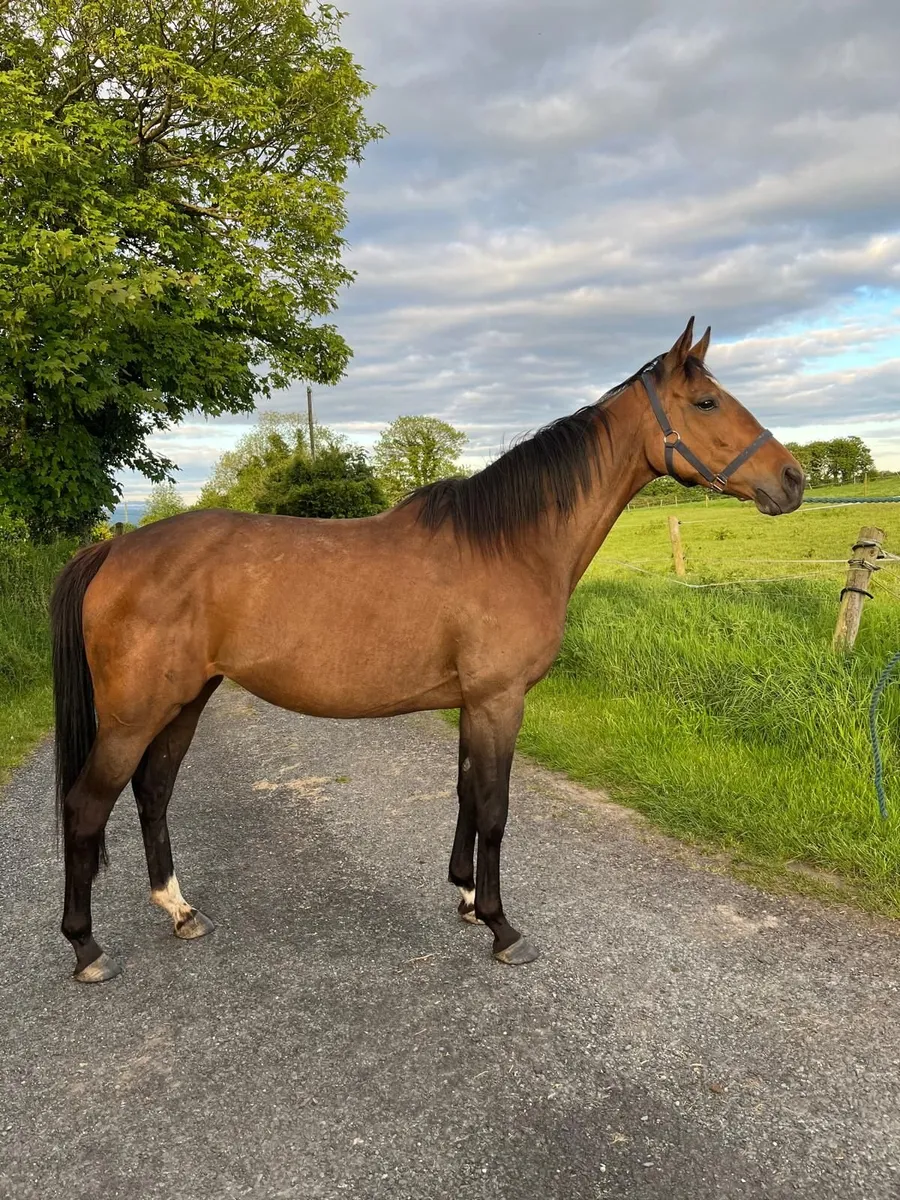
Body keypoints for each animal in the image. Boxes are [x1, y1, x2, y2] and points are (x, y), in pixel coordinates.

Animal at [50, 318, 804, 982]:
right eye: (706, 402)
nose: (793, 480)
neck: (512, 544)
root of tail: (115, 547)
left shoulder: (475, 703)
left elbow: (468, 795)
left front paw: (468, 900)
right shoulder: (500, 701)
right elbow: (494, 809)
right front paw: (503, 928)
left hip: (184, 701)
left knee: (153, 793)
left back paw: (180, 912)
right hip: (133, 716)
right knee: (86, 806)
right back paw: (87, 949)